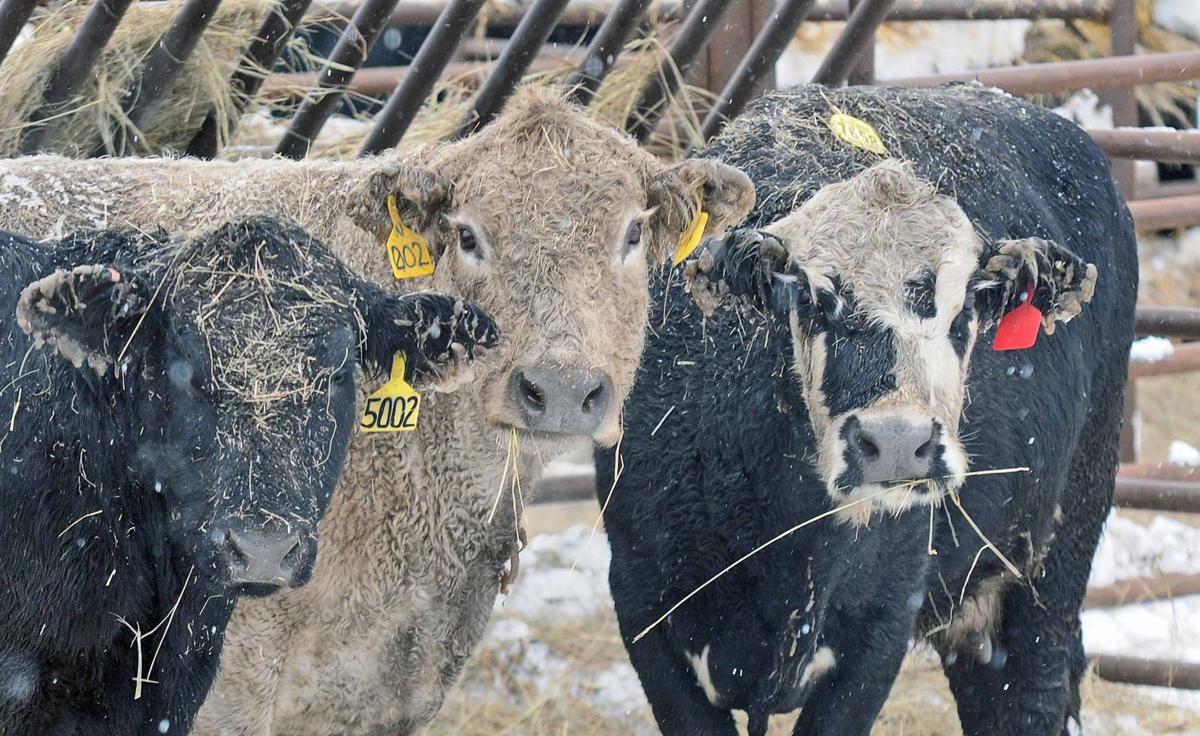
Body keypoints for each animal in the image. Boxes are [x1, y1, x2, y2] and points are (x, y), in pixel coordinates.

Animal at [598, 84, 1135, 736]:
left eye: (966, 309)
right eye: (810, 298)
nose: (898, 443)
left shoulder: (882, 628)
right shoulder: (643, 609)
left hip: (1058, 546)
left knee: (1031, 688)